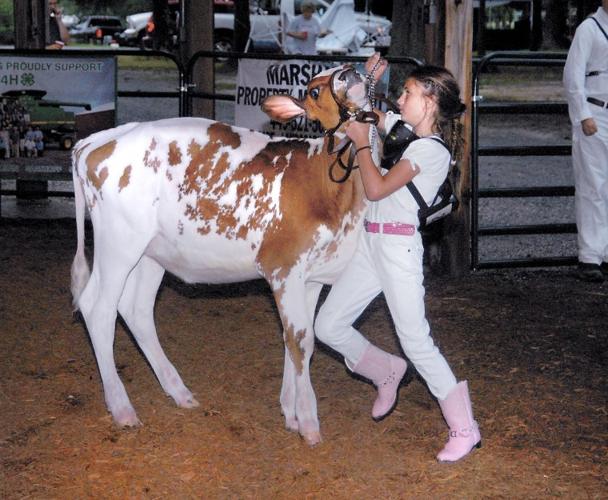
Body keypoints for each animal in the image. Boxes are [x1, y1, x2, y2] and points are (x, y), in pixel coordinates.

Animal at [70, 63, 370, 446]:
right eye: (315, 90)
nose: (352, 72)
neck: (328, 186)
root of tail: (98, 140)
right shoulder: (284, 268)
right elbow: (300, 341)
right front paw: (308, 421)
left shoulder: (312, 276)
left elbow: (296, 340)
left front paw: (290, 412)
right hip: (118, 244)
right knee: (98, 309)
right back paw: (122, 408)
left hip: (150, 253)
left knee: (135, 309)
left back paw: (178, 391)